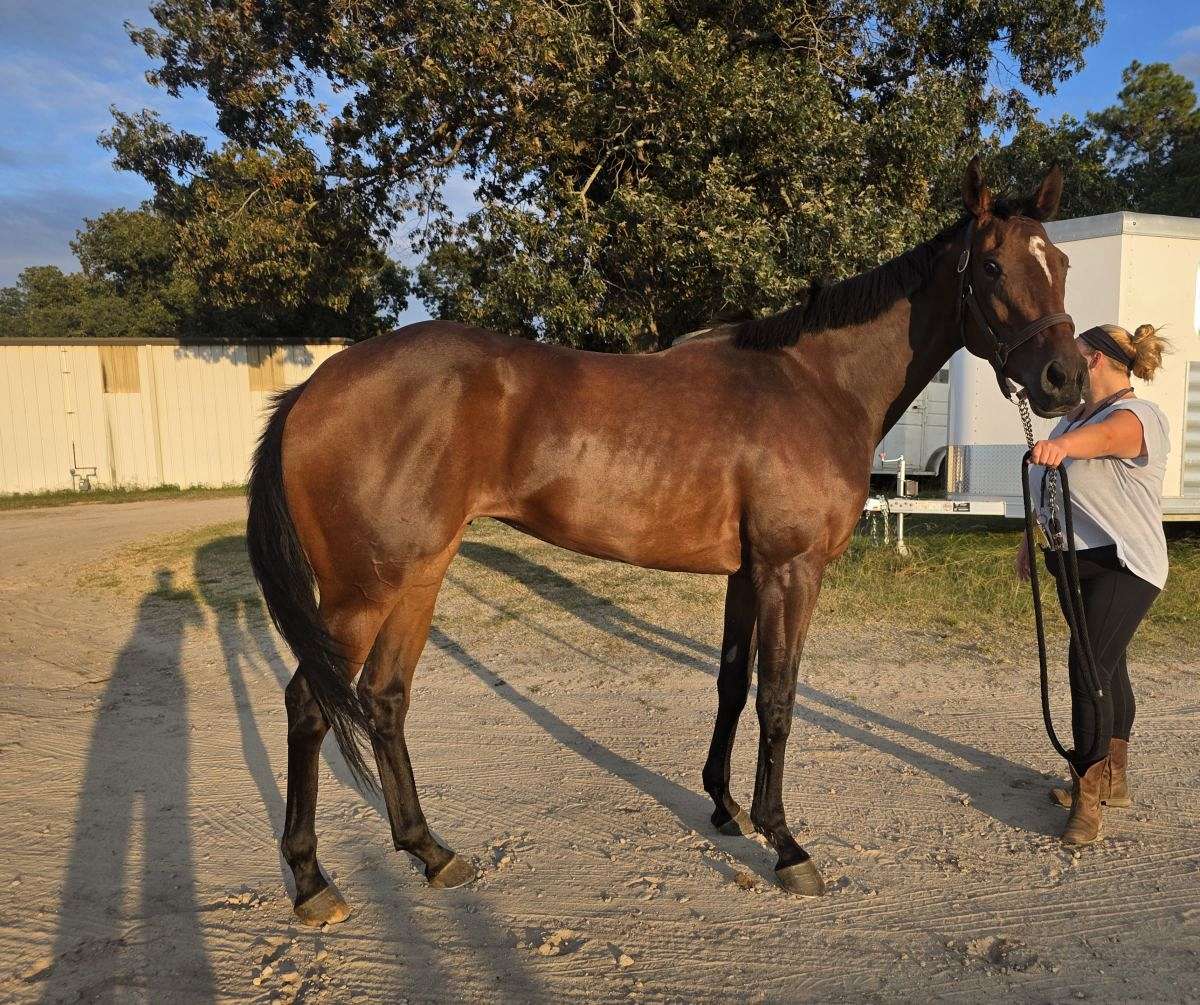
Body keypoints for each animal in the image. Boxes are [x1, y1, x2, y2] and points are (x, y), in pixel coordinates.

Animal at [246, 157, 1085, 926]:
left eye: (1062, 264)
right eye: (991, 264)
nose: (1064, 377)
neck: (816, 384)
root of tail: (312, 389)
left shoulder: (748, 573)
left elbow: (733, 683)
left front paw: (725, 806)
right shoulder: (791, 570)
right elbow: (778, 698)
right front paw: (787, 844)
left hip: (419, 574)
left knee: (385, 699)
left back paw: (430, 850)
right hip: (362, 590)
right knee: (309, 705)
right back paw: (313, 881)